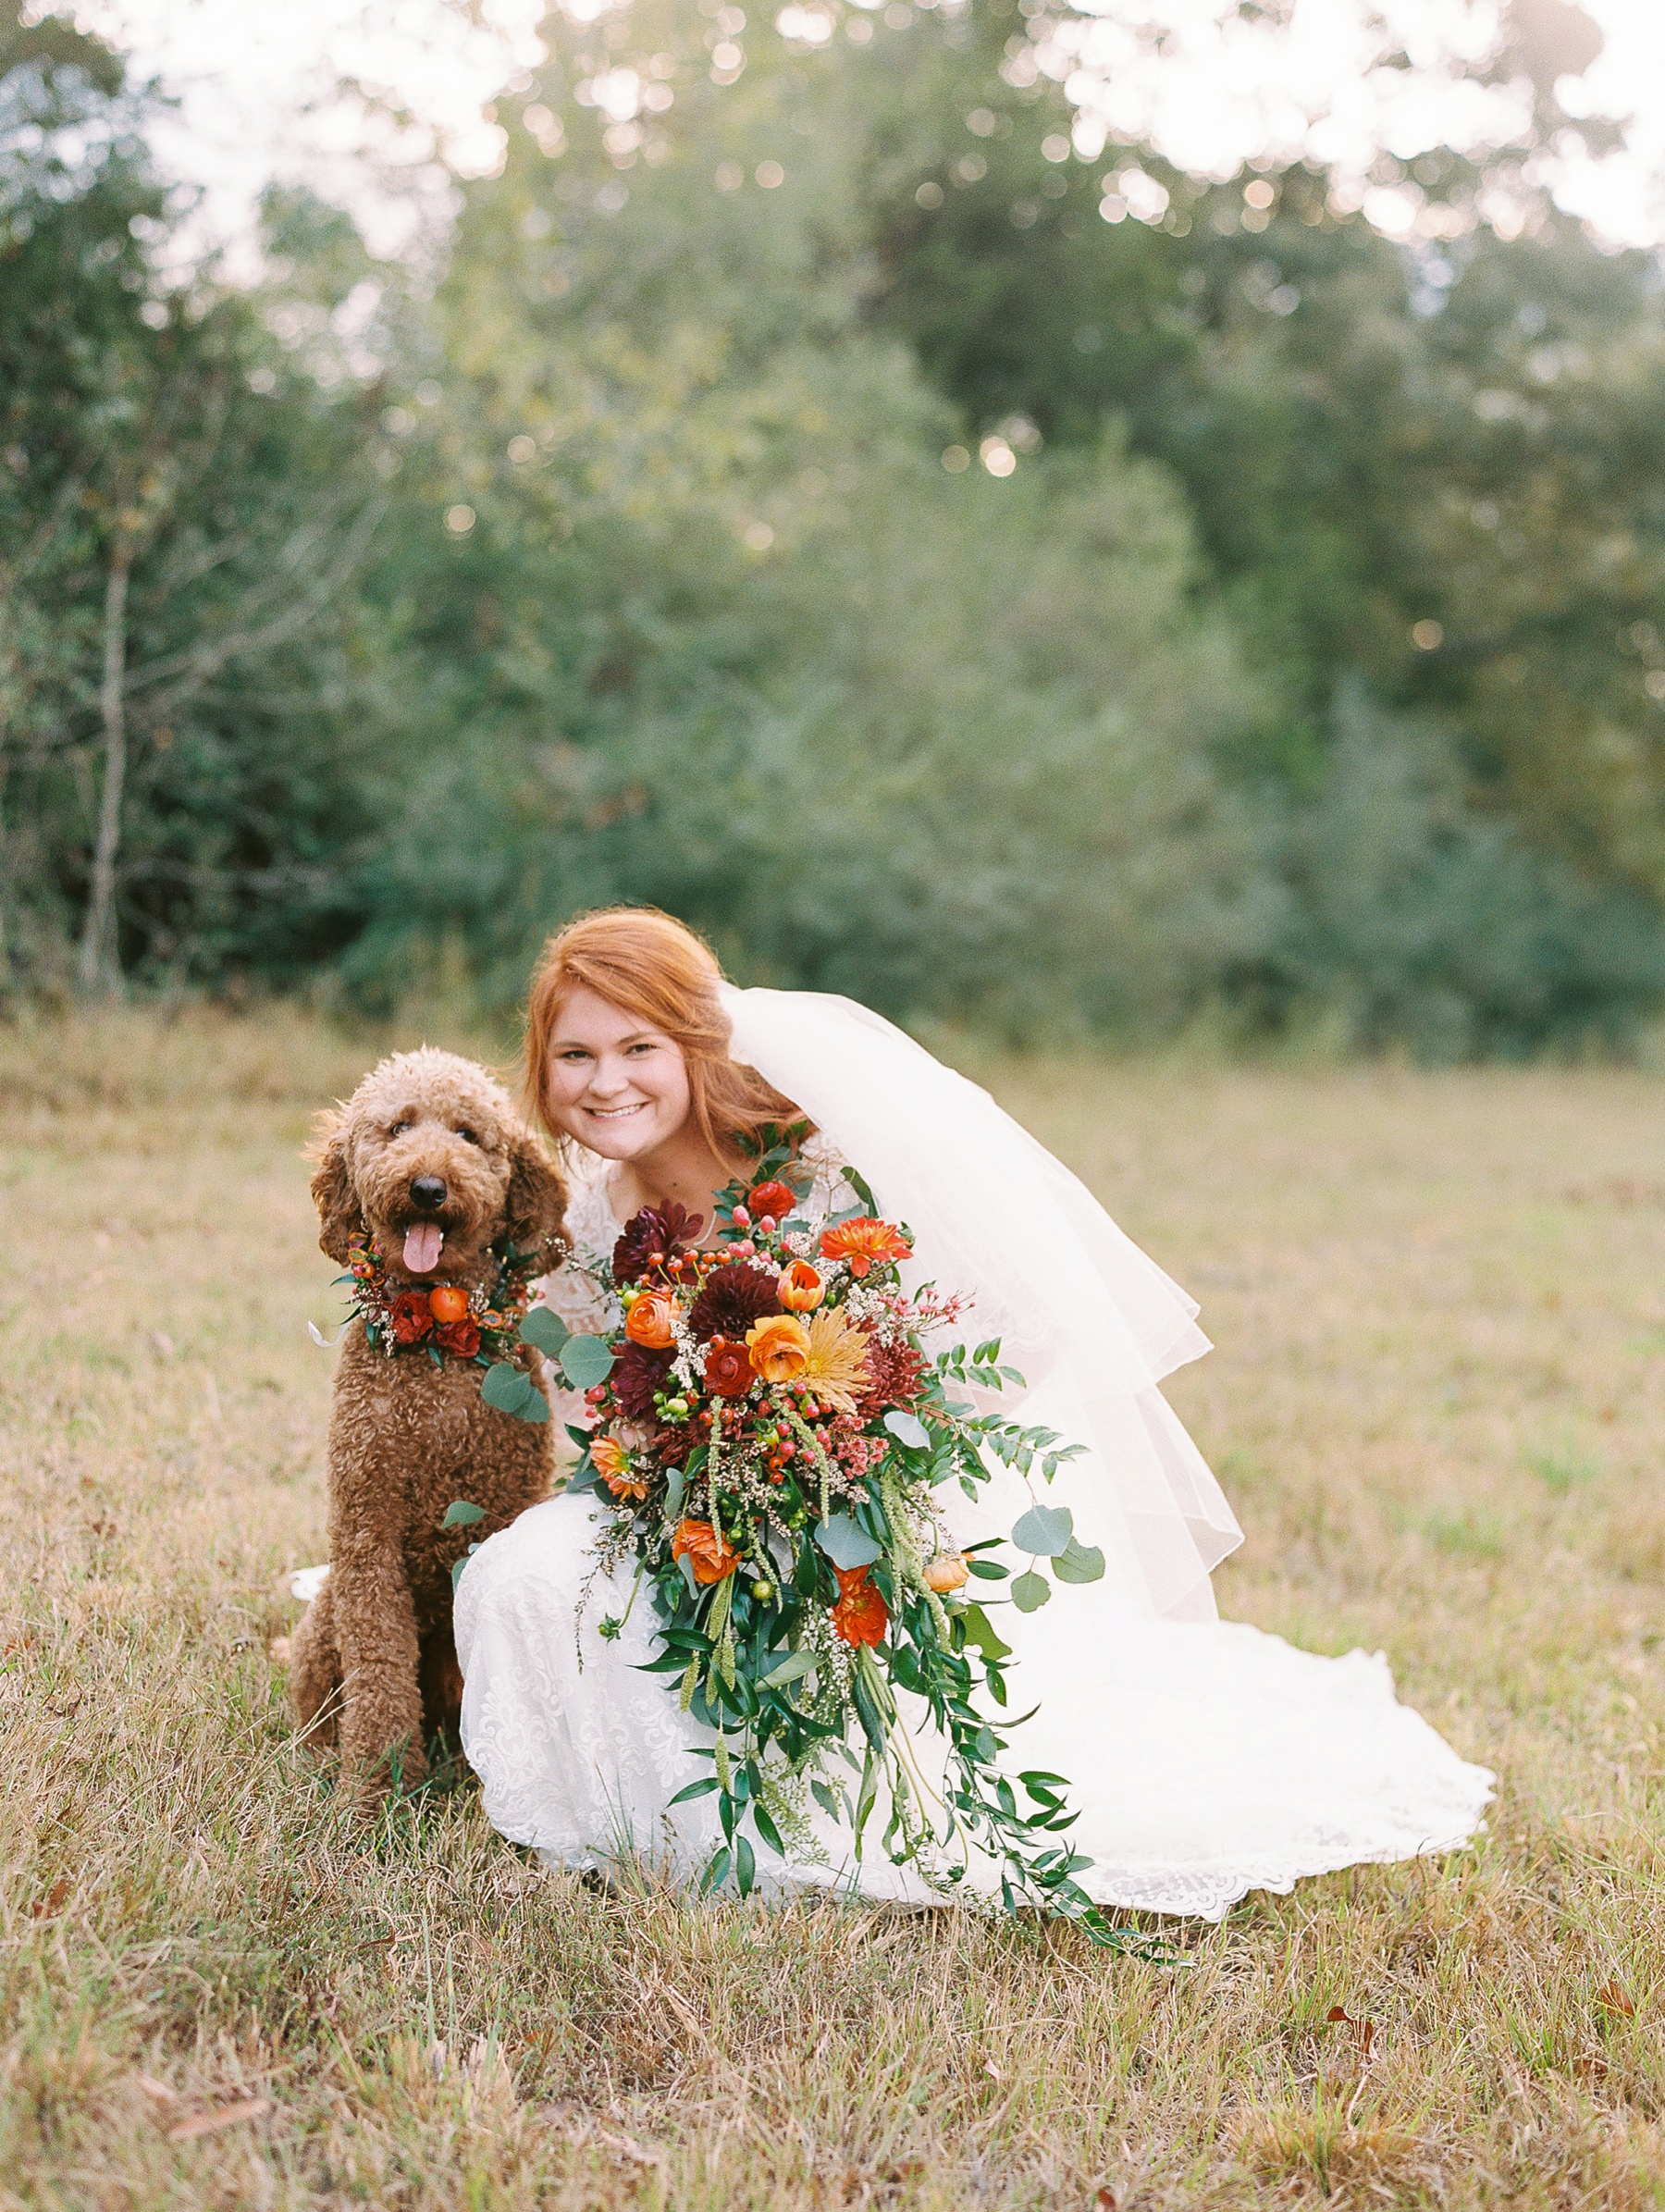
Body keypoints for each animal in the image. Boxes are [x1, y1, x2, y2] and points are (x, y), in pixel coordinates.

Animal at [290, 1044, 570, 1805]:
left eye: (469, 1135)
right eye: (397, 1127)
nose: (426, 1187)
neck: (436, 1341)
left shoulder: (495, 1514)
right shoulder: (367, 1533)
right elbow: (381, 1672)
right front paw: (374, 1793)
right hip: (325, 1617)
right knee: (316, 1704)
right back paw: (320, 1758)